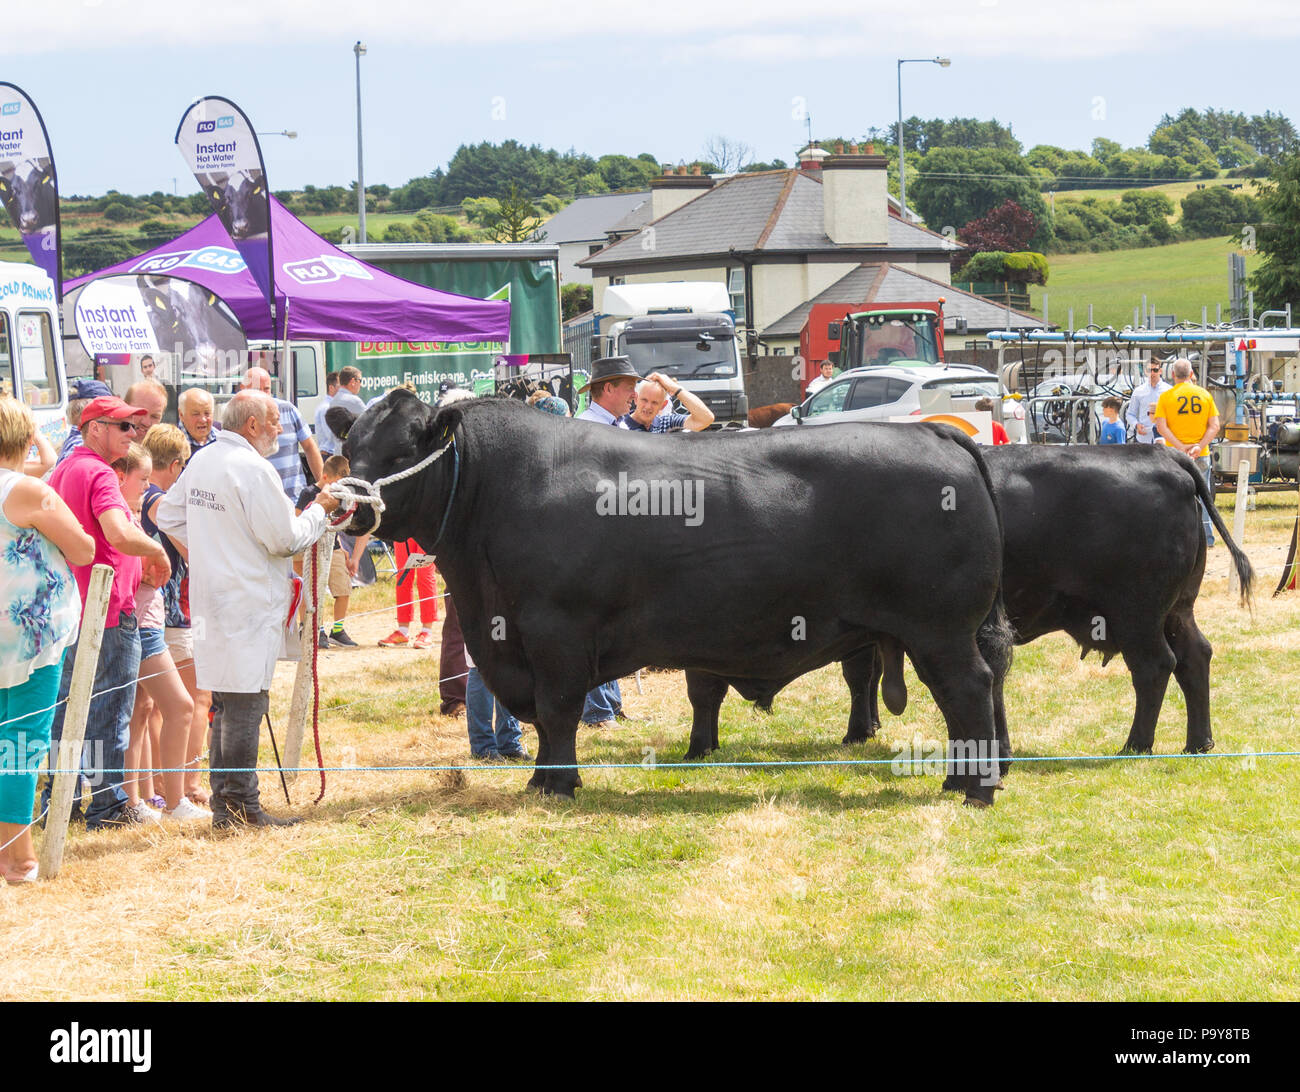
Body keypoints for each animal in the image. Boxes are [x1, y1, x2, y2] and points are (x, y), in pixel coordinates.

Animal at [331, 392, 1015, 805]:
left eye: (401, 451)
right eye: (351, 449)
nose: (346, 505)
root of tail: (938, 435)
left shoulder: (557, 631)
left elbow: (556, 711)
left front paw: (558, 785)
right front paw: (543, 781)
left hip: (941, 628)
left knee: (968, 690)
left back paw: (975, 789)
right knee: (958, 699)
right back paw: (958, 780)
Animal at [684, 443, 1254, 764]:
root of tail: (1163, 456)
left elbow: (704, 690)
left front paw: (698, 748)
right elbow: (860, 674)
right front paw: (862, 730)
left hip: (1136, 615)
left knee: (1155, 667)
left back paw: (1136, 744)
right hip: (1176, 610)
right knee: (1195, 658)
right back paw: (1198, 742)